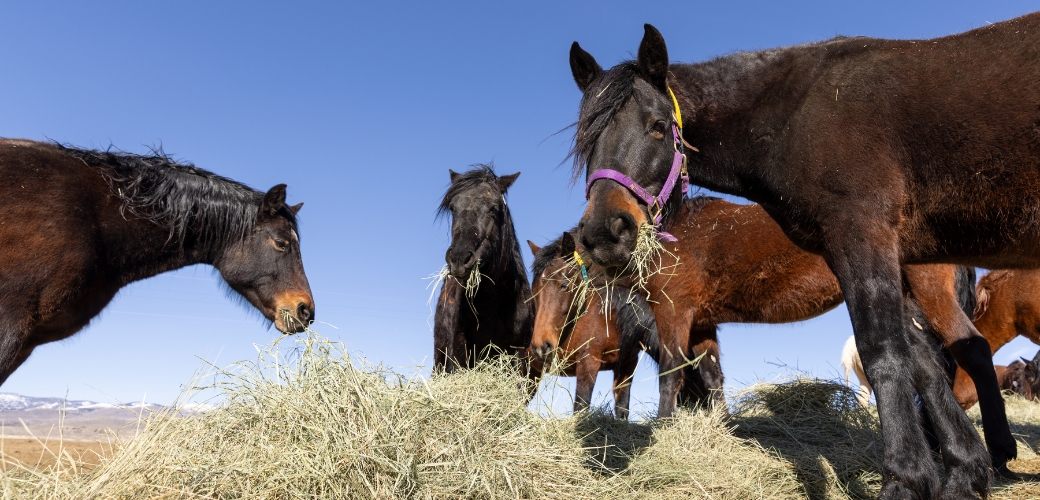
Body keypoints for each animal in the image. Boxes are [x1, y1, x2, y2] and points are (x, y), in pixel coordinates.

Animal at [567, 14, 1040, 493]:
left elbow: (883, 352)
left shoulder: (857, 235)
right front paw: (961, 469)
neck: (796, 113)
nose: (603, 232)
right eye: (586, 142)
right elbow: (919, 362)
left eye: (658, 126)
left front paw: (905, 480)